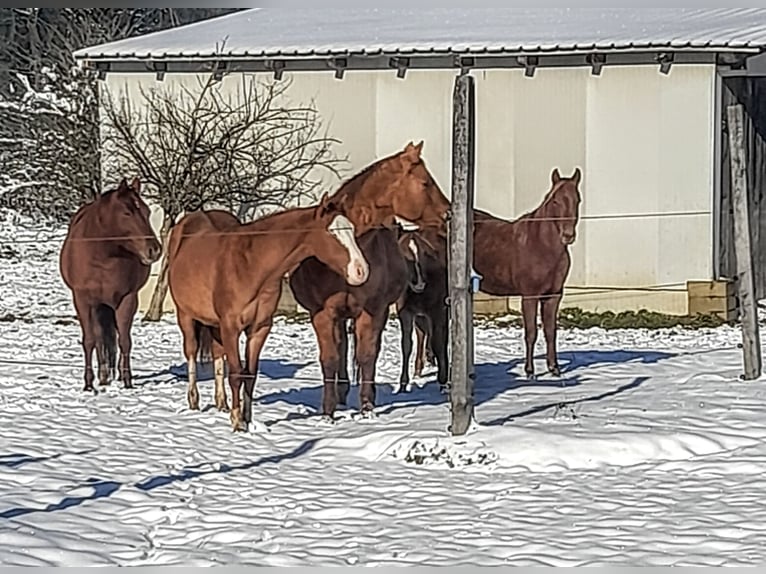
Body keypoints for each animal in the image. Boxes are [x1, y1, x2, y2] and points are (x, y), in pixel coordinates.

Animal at [59, 177, 162, 392]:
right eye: (127, 213)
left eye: (147, 211)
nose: (154, 250)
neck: (104, 255)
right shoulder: (83, 300)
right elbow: (89, 340)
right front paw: (88, 384)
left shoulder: (127, 299)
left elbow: (125, 340)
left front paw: (127, 381)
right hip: (98, 305)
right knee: (99, 337)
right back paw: (102, 376)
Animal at [166, 193, 370, 432]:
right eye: (332, 232)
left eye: (352, 229)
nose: (361, 271)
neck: (251, 264)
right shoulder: (231, 327)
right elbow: (236, 373)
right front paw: (237, 423)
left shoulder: (259, 328)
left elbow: (250, 374)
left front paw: (247, 419)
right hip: (185, 316)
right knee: (191, 351)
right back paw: (194, 401)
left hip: (214, 325)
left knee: (217, 354)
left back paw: (222, 404)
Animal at [395, 226, 449, 394]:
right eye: (403, 254)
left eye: (425, 253)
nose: (419, 283)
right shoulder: (405, 313)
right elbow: (406, 344)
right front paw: (403, 384)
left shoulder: (437, 311)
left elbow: (439, 342)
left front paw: (443, 381)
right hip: (420, 315)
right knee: (422, 334)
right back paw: (419, 367)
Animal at [472, 167, 582, 379]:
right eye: (555, 200)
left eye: (577, 200)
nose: (568, 235)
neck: (541, 245)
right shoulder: (530, 296)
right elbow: (531, 332)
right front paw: (530, 371)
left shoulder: (553, 296)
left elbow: (550, 331)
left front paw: (554, 368)